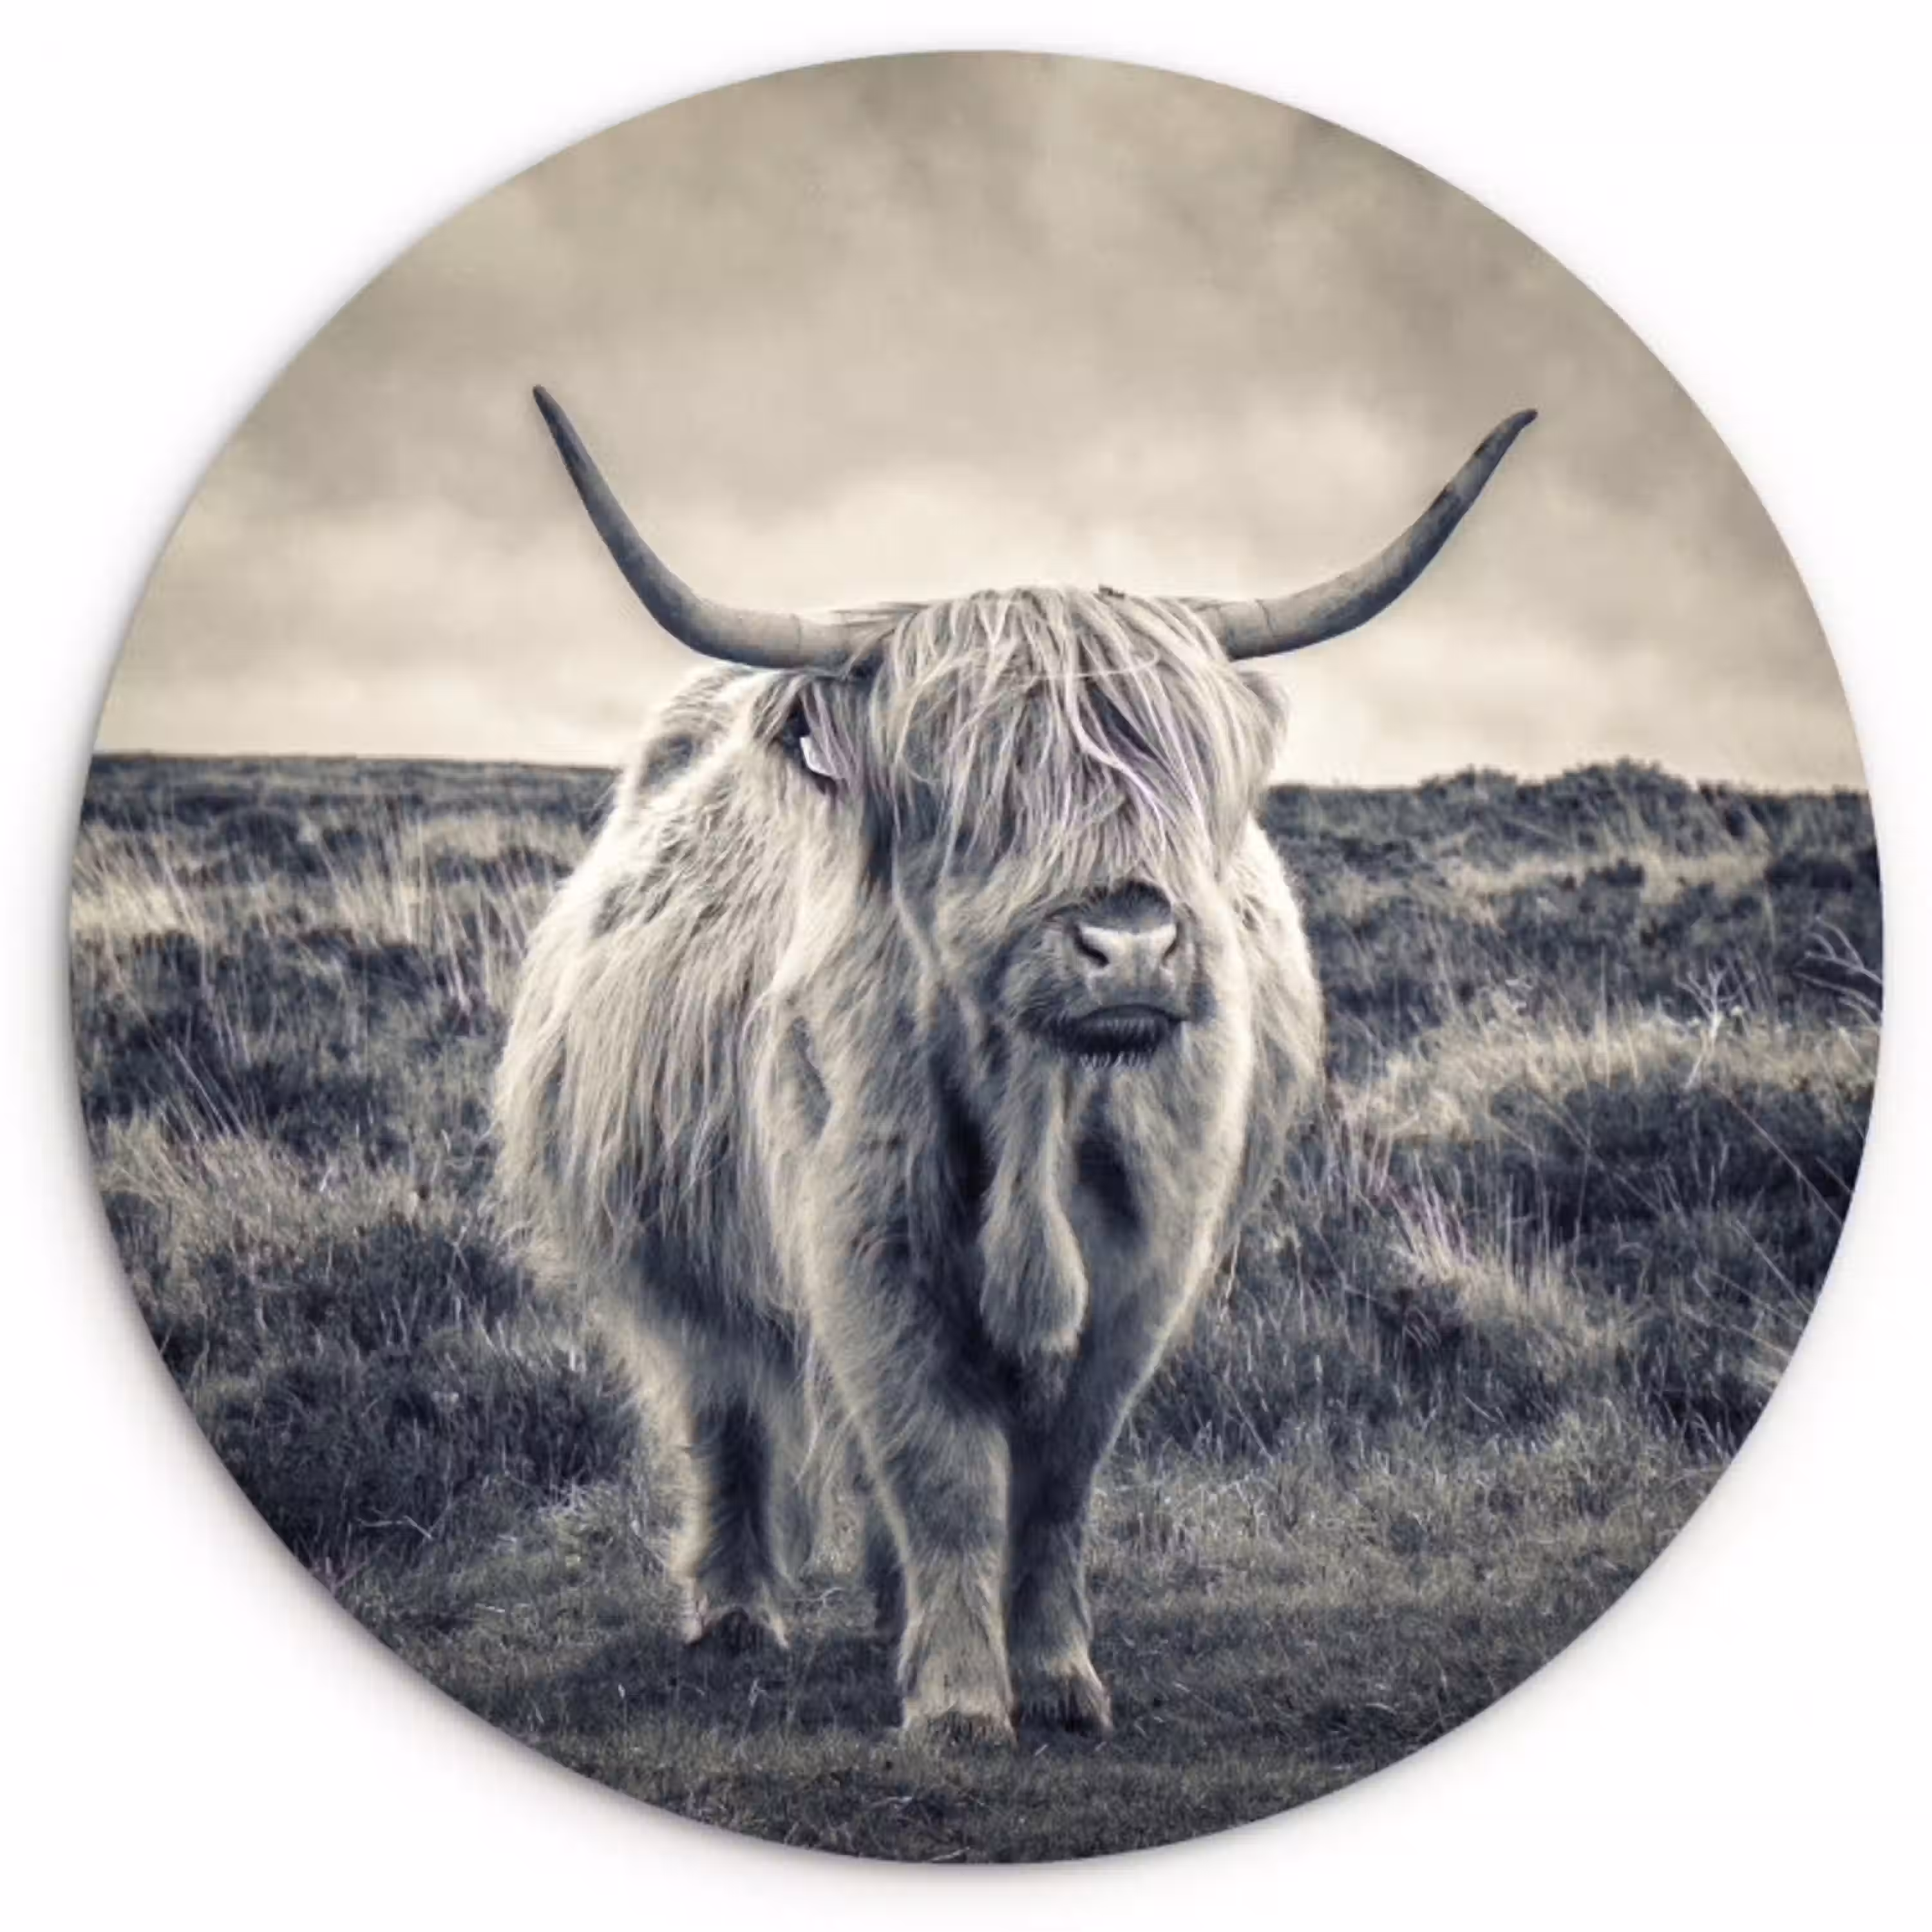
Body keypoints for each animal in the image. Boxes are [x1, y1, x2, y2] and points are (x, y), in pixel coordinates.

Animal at [493, 389, 1535, 1743]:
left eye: (1180, 774)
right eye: (970, 789)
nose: (1129, 942)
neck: (1039, 1106)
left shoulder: (1145, 1268)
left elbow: (1053, 1482)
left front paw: (1053, 1676)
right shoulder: (866, 1247)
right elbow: (936, 1467)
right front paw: (956, 1702)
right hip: (679, 1248)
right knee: (724, 1409)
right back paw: (734, 1613)